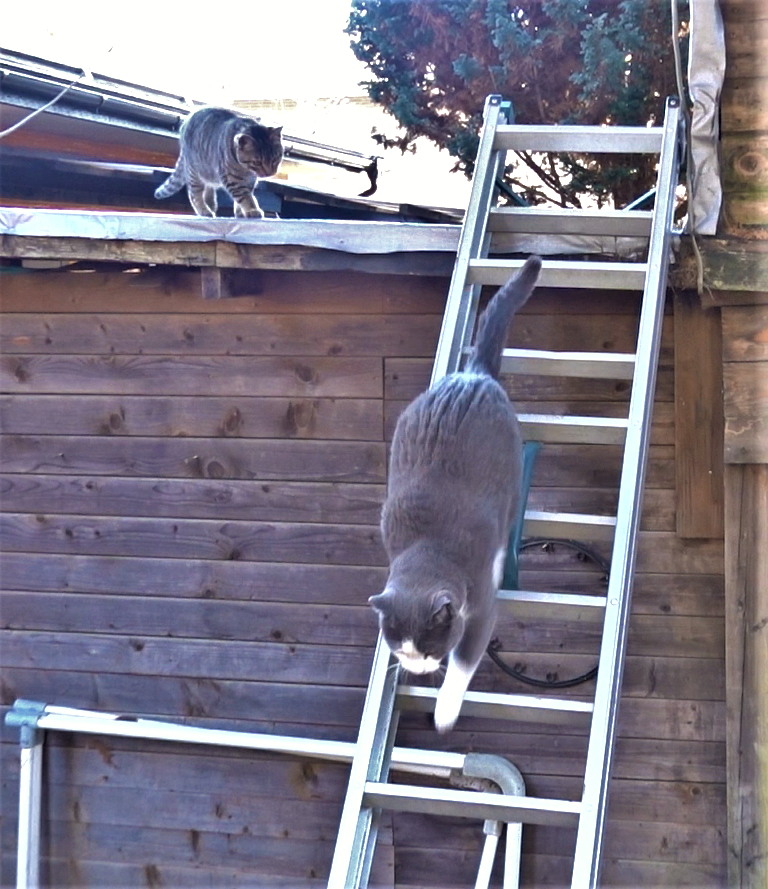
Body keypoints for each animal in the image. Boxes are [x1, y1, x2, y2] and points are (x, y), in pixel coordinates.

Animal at [155, 106, 284, 219]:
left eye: (275, 159)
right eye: (257, 162)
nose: (269, 173)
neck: (247, 171)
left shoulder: (249, 182)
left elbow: (242, 199)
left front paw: (240, 213)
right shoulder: (233, 180)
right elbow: (245, 197)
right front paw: (252, 210)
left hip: (207, 173)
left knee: (208, 189)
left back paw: (211, 205)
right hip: (194, 173)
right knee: (194, 195)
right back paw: (204, 210)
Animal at [368, 253, 544, 732]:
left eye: (430, 649)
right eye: (400, 649)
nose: (419, 668)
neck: (428, 548)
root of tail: (473, 373)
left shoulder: (480, 607)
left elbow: (466, 660)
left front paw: (444, 714)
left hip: (508, 480)